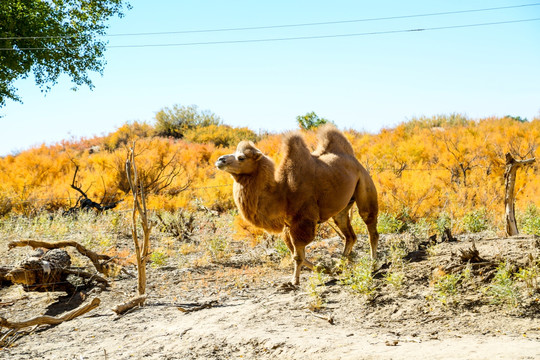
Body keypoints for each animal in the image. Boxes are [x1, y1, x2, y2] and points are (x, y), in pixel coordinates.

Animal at [215, 125, 380, 286]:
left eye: (241, 157)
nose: (220, 160)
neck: (282, 190)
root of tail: (354, 159)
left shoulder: (302, 220)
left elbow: (298, 254)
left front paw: (294, 281)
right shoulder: (288, 225)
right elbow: (296, 253)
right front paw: (325, 269)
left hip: (364, 183)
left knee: (370, 225)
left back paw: (372, 265)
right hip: (342, 207)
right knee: (349, 234)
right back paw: (340, 266)